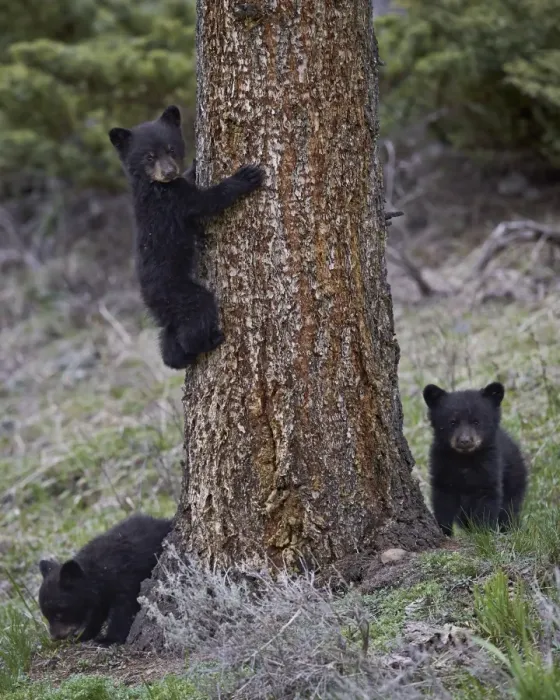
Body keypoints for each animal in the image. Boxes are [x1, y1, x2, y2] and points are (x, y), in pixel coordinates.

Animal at [38, 514, 172, 645]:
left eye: (59, 614)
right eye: (46, 615)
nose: (54, 637)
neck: (100, 572)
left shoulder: (125, 581)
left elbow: (123, 610)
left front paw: (108, 639)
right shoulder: (99, 596)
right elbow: (96, 614)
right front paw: (85, 635)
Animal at [108, 105, 265, 369]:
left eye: (171, 149)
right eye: (149, 156)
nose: (169, 171)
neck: (153, 185)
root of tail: (148, 299)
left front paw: (193, 165)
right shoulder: (174, 199)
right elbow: (208, 201)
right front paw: (246, 177)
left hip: (171, 310)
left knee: (169, 336)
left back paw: (177, 357)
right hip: (180, 294)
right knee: (197, 316)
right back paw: (209, 341)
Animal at [423, 381, 527, 536]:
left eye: (476, 421)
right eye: (452, 422)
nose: (465, 441)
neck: (465, 459)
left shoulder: (490, 466)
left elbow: (487, 500)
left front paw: (483, 532)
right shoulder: (442, 466)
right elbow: (443, 501)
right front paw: (445, 530)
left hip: (514, 478)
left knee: (509, 508)